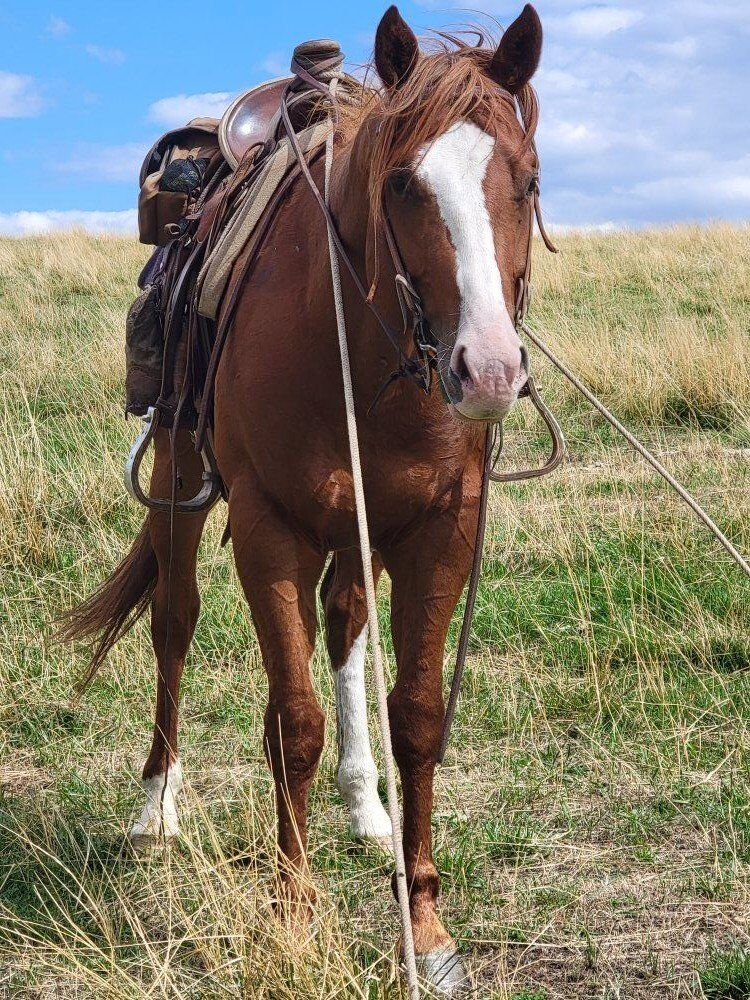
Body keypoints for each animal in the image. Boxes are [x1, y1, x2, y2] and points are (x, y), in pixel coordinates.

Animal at [64, 4, 546, 991]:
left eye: (527, 180)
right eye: (401, 182)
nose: (486, 369)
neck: (356, 344)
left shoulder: (440, 528)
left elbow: (418, 716)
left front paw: (425, 929)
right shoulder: (269, 529)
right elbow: (292, 724)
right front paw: (291, 912)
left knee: (347, 620)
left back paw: (365, 807)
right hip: (179, 476)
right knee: (173, 620)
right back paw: (156, 803)